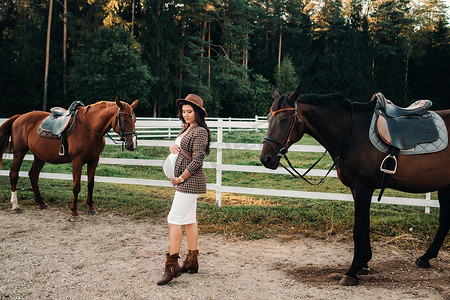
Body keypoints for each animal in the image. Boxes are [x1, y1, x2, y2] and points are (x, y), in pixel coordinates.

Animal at [0, 98, 138, 220]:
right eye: (124, 119)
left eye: (135, 119)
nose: (132, 144)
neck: (89, 128)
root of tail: (19, 117)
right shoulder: (77, 161)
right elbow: (76, 186)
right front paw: (74, 213)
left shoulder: (94, 160)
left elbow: (90, 184)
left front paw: (91, 208)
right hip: (19, 152)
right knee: (14, 174)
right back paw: (15, 205)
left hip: (39, 156)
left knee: (33, 175)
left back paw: (41, 203)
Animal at [260, 86, 450, 286]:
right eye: (268, 118)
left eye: (284, 119)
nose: (266, 159)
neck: (351, 133)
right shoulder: (356, 189)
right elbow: (364, 226)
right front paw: (364, 264)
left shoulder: (362, 187)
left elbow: (358, 229)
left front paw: (353, 270)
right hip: (445, 186)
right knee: (445, 220)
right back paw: (425, 258)